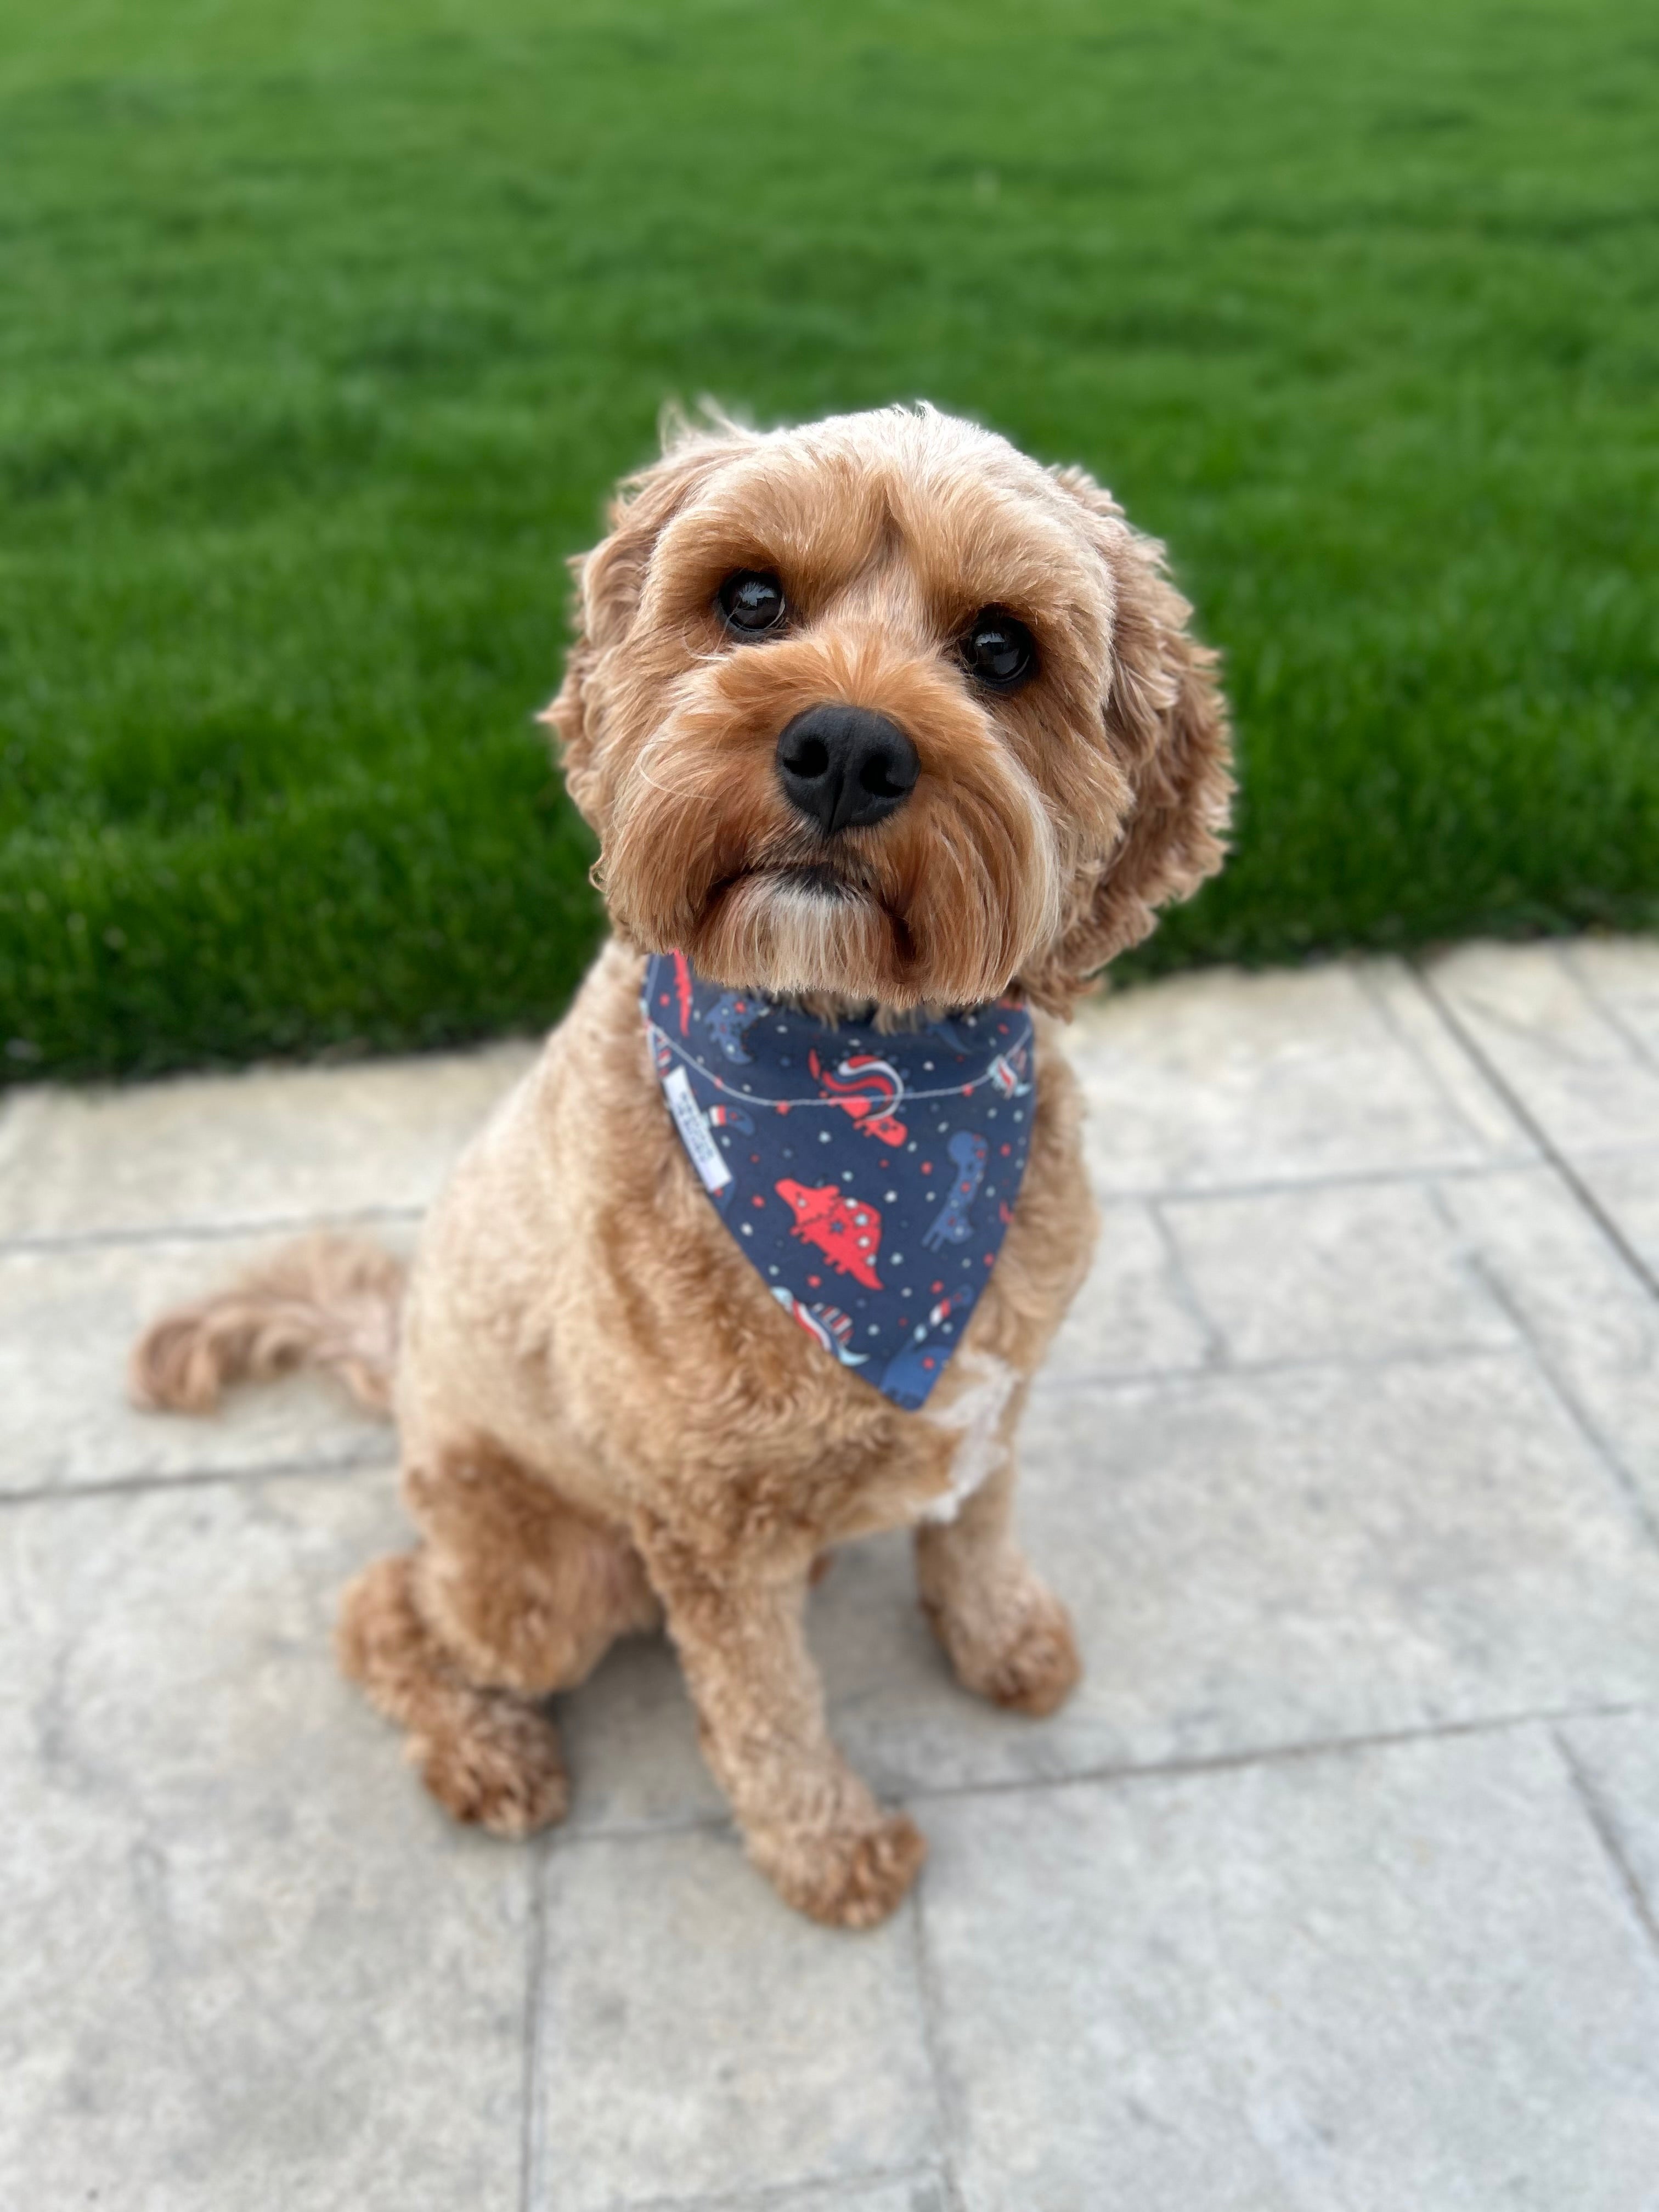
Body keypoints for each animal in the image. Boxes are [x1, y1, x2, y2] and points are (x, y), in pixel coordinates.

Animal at [133, 407, 1238, 1928]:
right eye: (751, 600)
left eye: (1004, 648)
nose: (846, 746)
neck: (850, 1081)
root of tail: (401, 1358)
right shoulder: (709, 1533)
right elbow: (767, 1708)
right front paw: (828, 1848)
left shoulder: (998, 1399)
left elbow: (973, 1531)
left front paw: (999, 1637)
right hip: (552, 1566)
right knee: (387, 1608)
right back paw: (486, 1754)